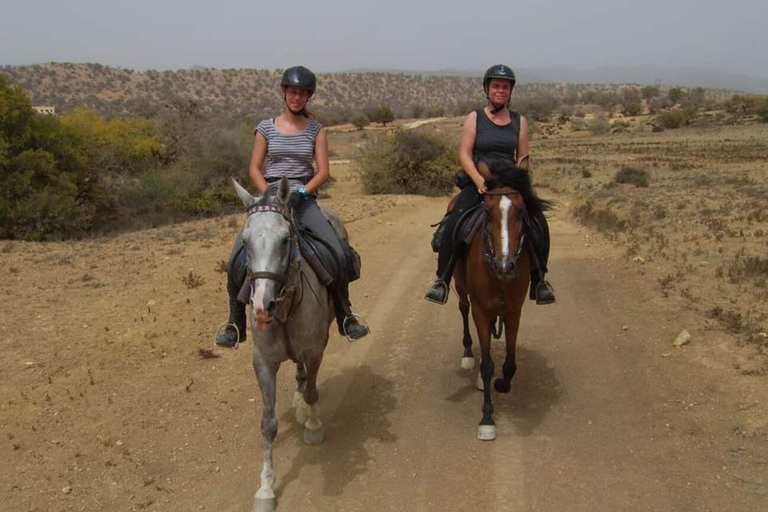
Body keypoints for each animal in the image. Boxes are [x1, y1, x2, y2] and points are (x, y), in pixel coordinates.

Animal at [232, 177, 340, 512]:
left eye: (283, 240)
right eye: (245, 241)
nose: (261, 305)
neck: (285, 309)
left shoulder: (316, 350)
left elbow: (314, 391)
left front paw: (314, 427)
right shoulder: (263, 361)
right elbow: (268, 424)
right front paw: (266, 487)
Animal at [456, 163, 536, 440]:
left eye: (521, 211)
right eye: (487, 213)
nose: (505, 265)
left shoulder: (514, 311)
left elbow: (510, 361)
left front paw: (502, 383)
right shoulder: (480, 311)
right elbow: (490, 365)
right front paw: (487, 419)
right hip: (460, 287)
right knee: (463, 309)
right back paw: (469, 354)